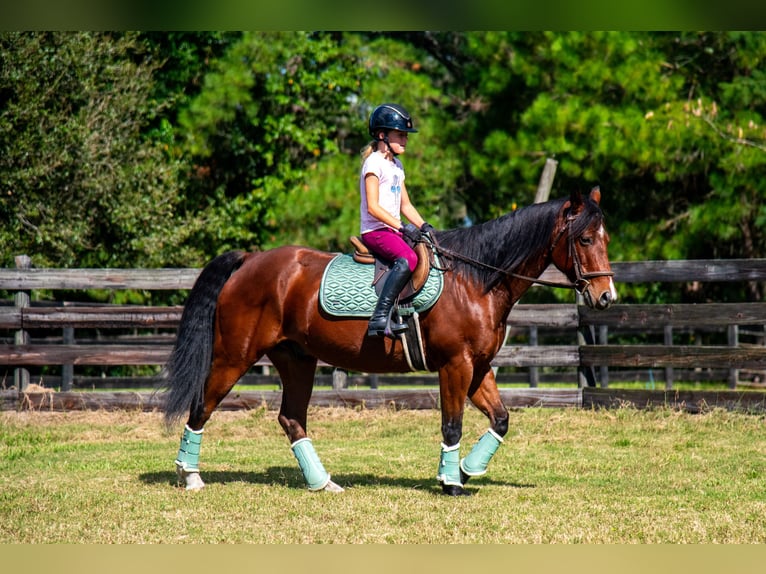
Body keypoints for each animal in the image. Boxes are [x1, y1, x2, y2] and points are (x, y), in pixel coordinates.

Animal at [162, 186, 616, 496]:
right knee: (202, 406)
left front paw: (466, 470)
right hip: (234, 356)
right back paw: (191, 476)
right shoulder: (455, 365)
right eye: (585, 239)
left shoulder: (479, 367)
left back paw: (323, 482)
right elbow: (451, 423)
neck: (473, 281)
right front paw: (450, 481)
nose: (606, 297)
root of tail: (250, 260)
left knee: (292, 419)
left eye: (605, 239)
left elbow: (501, 419)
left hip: (297, 360)